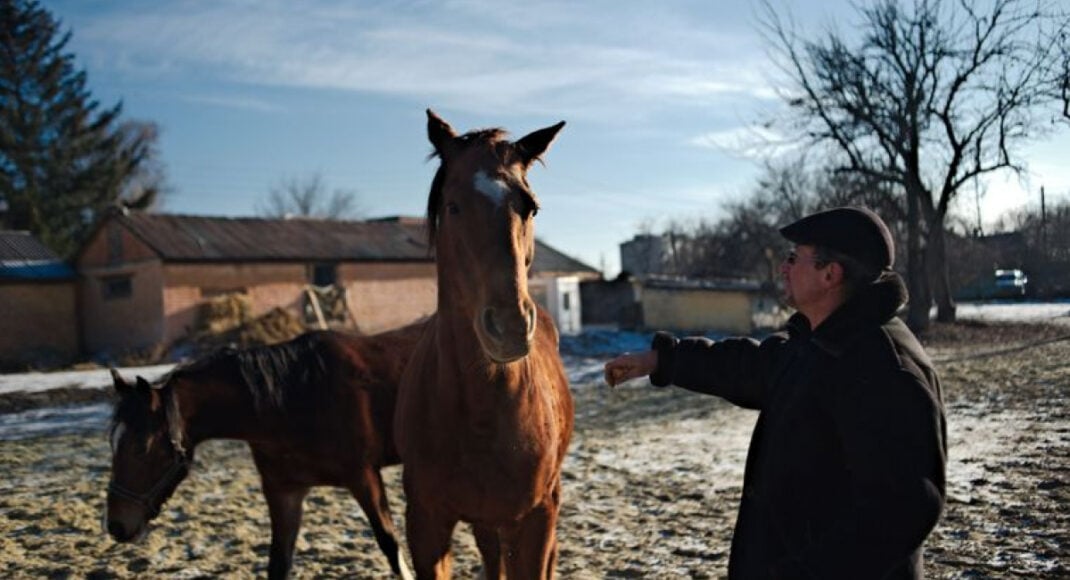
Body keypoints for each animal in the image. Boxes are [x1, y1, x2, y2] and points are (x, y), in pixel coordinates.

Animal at [104, 327, 421, 580]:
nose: (117, 526)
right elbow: (278, 564)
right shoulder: (283, 490)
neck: (298, 396)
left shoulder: (363, 477)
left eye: (141, 448)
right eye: (112, 442)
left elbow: (391, 546)